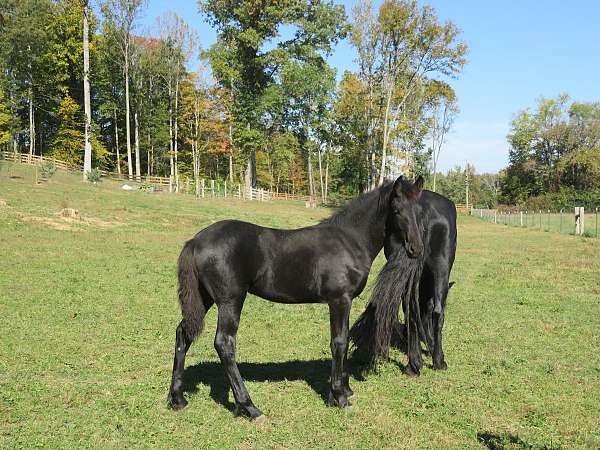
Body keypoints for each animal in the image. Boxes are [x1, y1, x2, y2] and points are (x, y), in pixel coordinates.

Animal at [166, 175, 424, 418]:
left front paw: (343, 390)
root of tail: (195, 241)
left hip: (205, 299)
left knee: (183, 335)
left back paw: (177, 399)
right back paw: (250, 407)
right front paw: (340, 397)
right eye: (397, 210)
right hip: (231, 300)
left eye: (419, 211)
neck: (349, 240)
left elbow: (343, 339)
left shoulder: (344, 302)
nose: (416, 249)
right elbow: (339, 342)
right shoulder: (340, 300)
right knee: (224, 343)